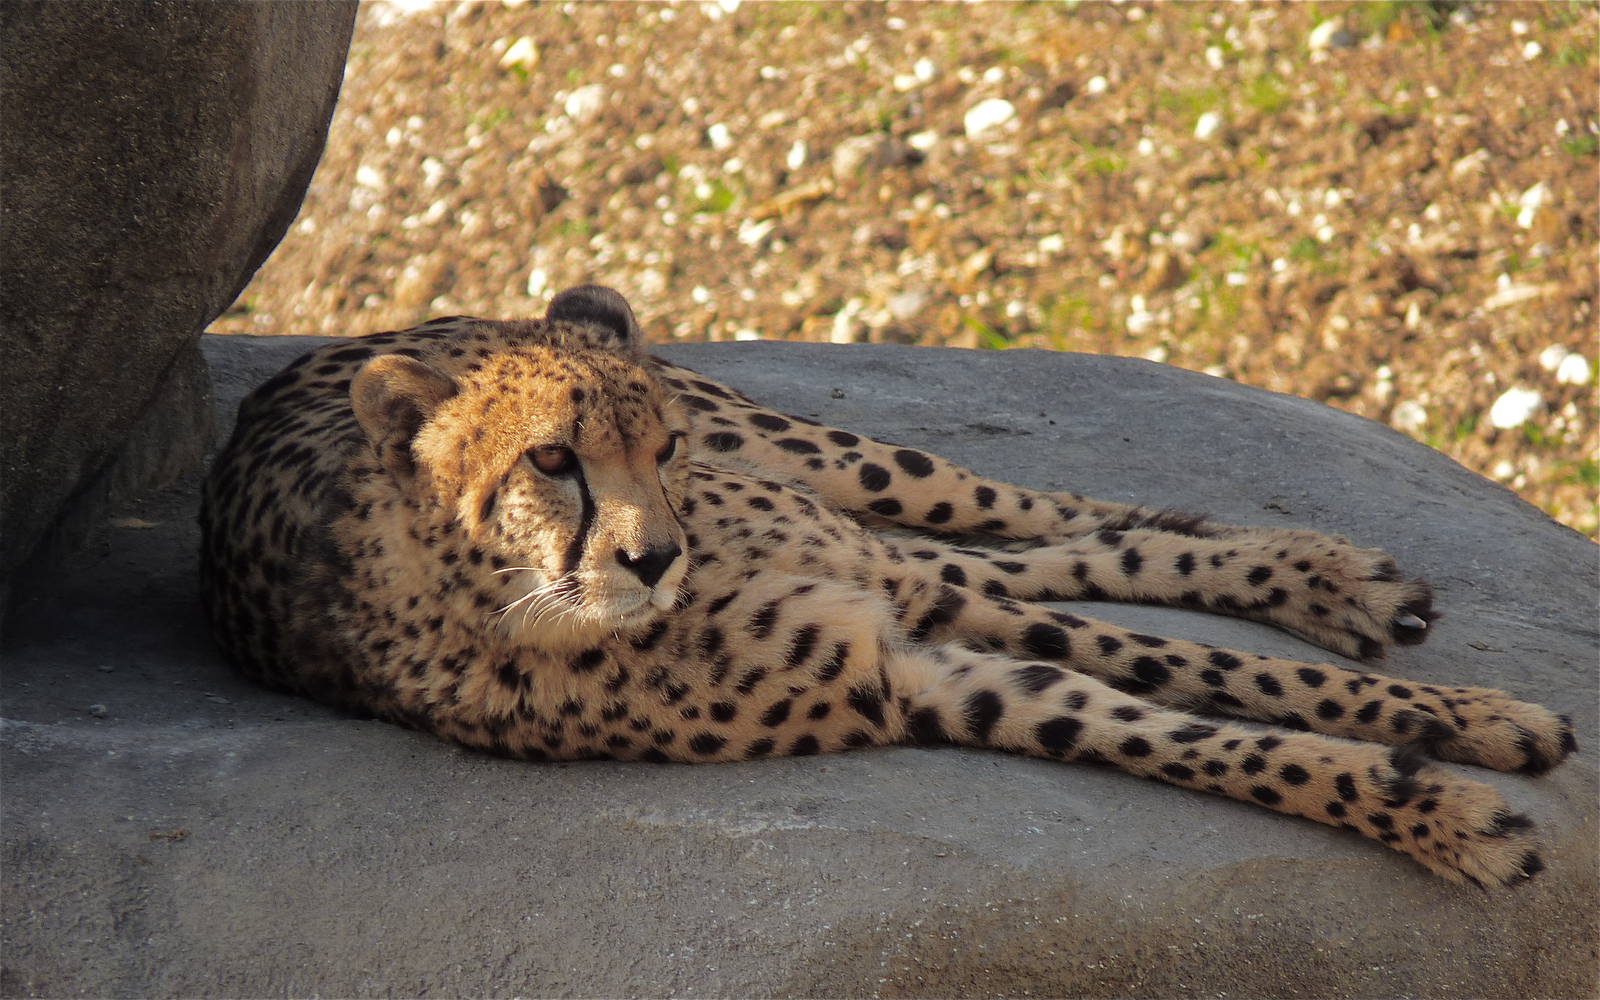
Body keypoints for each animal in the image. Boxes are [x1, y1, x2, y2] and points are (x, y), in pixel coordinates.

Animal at [200, 284, 1577, 888]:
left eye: (660, 449)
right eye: (550, 461)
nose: (656, 552)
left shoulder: (895, 610)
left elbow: (1206, 672)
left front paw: (1476, 727)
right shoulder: (913, 675)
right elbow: (1174, 724)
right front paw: (1443, 809)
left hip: (834, 477)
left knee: (1041, 523)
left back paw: (1327, 575)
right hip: (886, 560)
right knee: (1046, 558)